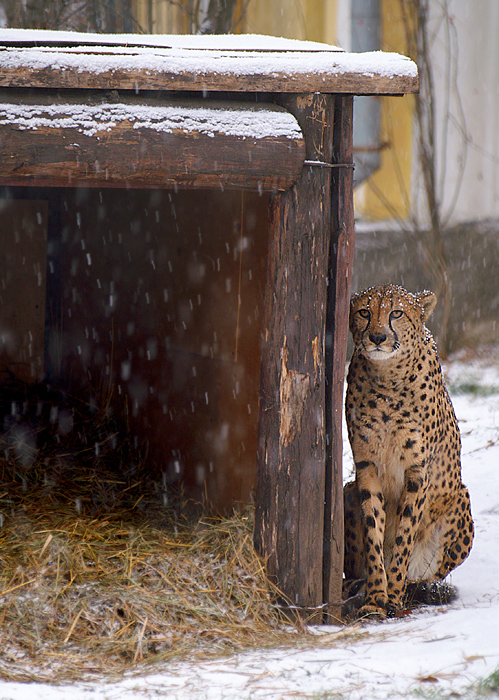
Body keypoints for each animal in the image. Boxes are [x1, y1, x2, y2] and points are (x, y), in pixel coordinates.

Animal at [346, 284, 474, 616]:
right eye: (364, 312)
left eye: (396, 313)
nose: (378, 337)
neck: (387, 378)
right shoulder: (367, 467)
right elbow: (373, 533)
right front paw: (375, 597)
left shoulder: (417, 471)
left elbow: (404, 535)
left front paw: (392, 595)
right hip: (346, 489)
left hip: (460, 498)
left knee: (426, 578)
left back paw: (412, 590)